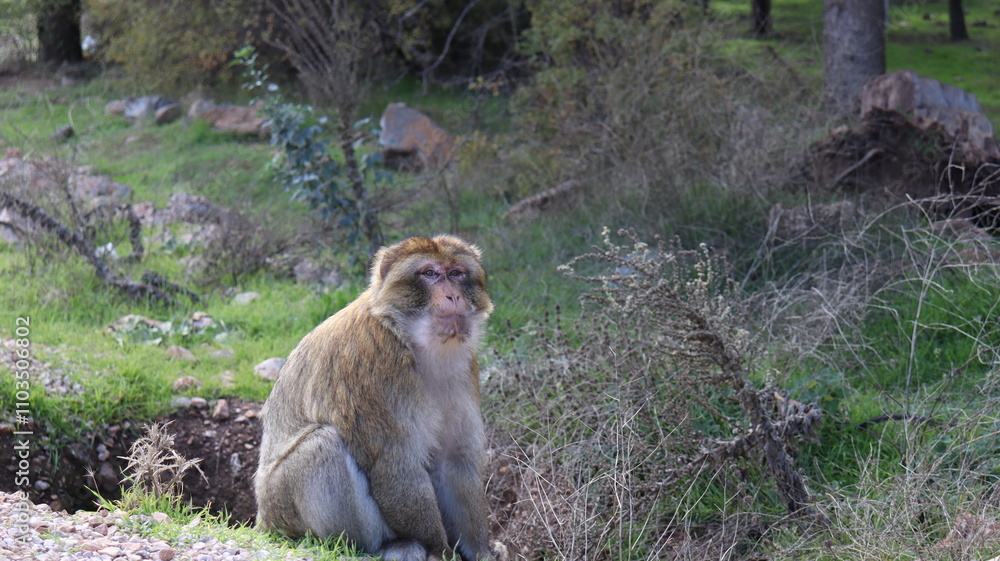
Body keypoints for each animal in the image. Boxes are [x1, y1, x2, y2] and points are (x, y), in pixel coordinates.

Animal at [255, 235, 503, 561]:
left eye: (456, 273)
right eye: (430, 273)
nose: (453, 296)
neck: (406, 337)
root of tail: (263, 518)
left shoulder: (465, 368)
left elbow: (454, 461)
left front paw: (481, 551)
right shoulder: (374, 367)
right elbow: (394, 467)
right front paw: (439, 550)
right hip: (283, 509)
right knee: (322, 445)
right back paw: (380, 546)